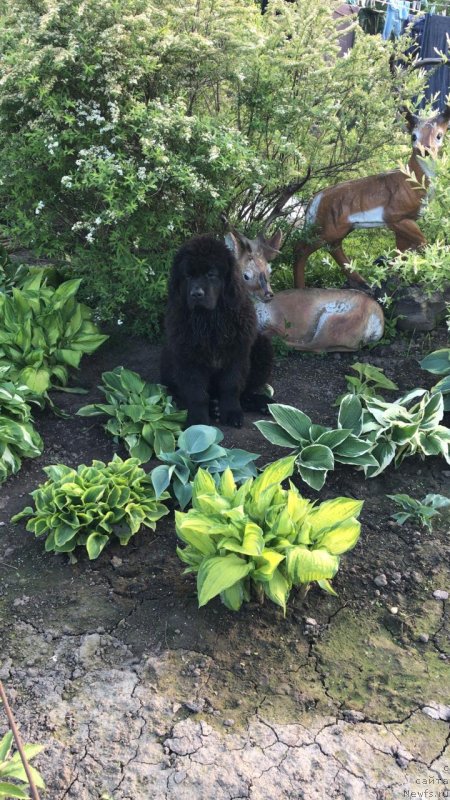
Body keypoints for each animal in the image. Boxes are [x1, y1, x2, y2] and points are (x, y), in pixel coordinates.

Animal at [162, 234, 274, 428]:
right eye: (188, 275)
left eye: (211, 274)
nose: (196, 294)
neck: (210, 320)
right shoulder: (188, 357)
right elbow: (196, 394)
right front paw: (198, 421)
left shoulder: (237, 353)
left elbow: (231, 387)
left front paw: (232, 413)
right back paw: (214, 407)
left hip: (262, 347)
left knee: (245, 394)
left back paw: (262, 403)